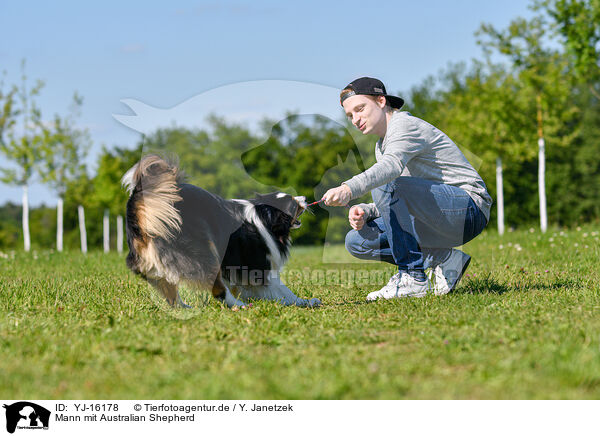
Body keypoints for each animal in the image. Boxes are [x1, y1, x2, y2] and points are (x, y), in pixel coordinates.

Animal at [120, 155, 322, 308]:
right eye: (293, 203)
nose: (305, 197)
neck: (265, 217)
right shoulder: (259, 266)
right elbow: (282, 289)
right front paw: (305, 302)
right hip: (204, 251)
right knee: (217, 289)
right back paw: (239, 306)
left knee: (170, 293)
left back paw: (185, 307)